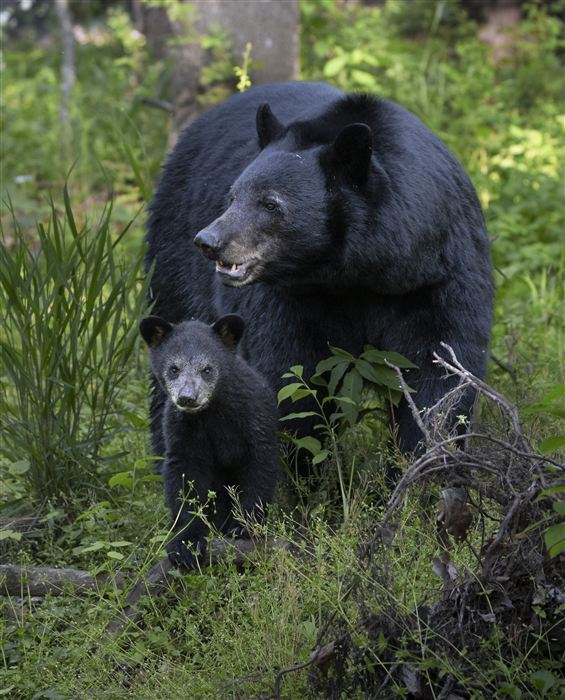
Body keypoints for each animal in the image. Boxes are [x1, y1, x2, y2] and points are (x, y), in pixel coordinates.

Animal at [139, 313, 279, 569]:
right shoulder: (181, 430)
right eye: (174, 369)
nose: (187, 398)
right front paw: (185, 545)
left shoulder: (254, 417)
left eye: (206, 369)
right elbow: (185, 479)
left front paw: (244, 527)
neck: (211, 412)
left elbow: (259, 467)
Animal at [146, 81, 493, 458]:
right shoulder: (289, 296)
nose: (209, 241)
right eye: (232, 196)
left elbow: (440, 372)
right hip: (174, 252)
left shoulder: (435, 276)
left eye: (270, 203)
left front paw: (423, 459)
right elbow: (291, 375)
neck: (354, 273)